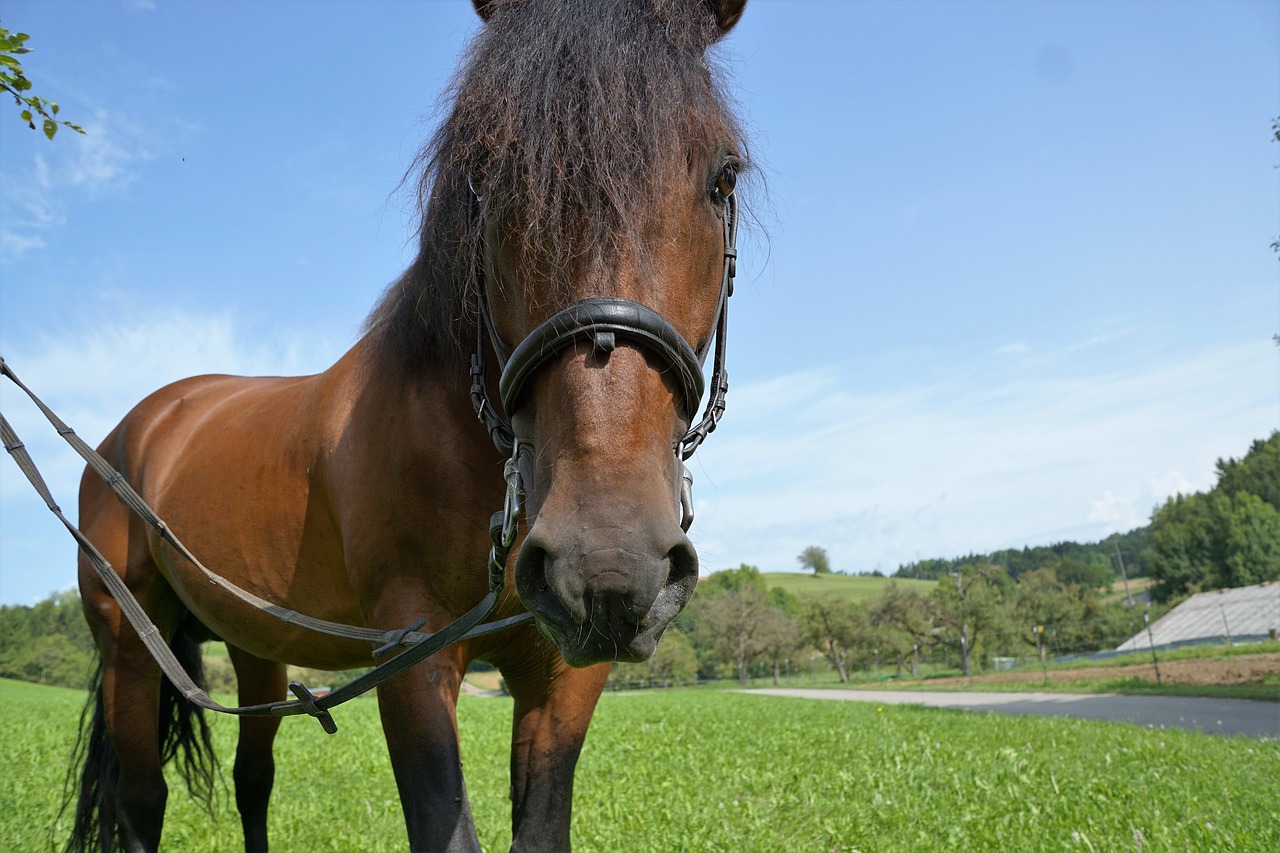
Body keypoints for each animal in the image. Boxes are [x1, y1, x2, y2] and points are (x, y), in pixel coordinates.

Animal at [67, 0, 747, 845]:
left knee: (253, 778)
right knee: (140, 796)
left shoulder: (564, 672)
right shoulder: (412, 648)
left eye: (723, 176)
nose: (609, 561)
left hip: (256, 650)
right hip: (129, 642)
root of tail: (136, 428)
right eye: (487, 174)